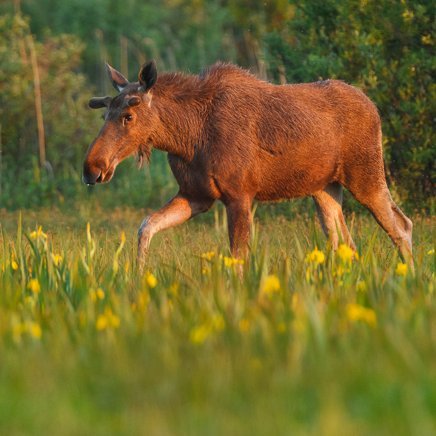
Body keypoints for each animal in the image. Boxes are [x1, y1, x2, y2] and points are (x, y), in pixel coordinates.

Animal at [83, 60, 414, 268]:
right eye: (105, 114)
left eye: (128, 116)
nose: (92, 168)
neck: (186, 137)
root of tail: (374, 107)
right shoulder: (196, 195)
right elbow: (145, 226)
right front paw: (138, 278)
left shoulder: (239, 195)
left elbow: (238, 259)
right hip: (324, 188)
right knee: (344, 243)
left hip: (366, 175)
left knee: (401, 225)